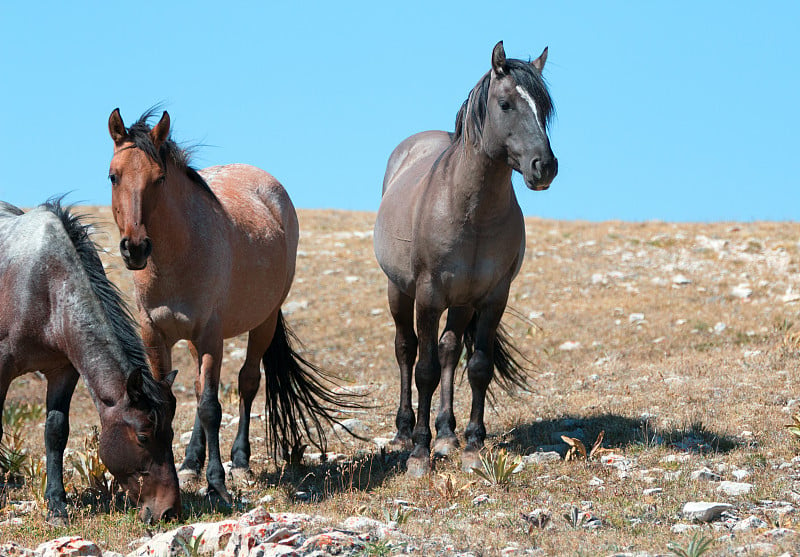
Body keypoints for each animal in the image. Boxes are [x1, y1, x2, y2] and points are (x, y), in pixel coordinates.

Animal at [0, 199, 180, 520]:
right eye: (143, 437)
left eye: (171, 434)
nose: (169, 511)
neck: (47, 286)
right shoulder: (2, 365)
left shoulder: (64, 371)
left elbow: (56, 432)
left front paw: (57, 505)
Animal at [104, 106, 354, 502]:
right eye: (114, 176)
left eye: (159, 179)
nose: (135, 248)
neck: (176, 258)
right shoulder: (155, 336)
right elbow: (169, 402)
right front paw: (182, 471)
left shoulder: (210, 336)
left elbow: (211, 407)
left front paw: (217, 483)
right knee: (196, 388)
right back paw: (191, 462)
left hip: (264, 321)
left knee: (247, 382)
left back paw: (240, 460)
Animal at [374, 41, 556, 476]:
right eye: (506, 103)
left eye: (545, 109)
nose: (545, 166)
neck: (471, 211)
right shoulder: (427, 296)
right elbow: (423, 370)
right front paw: (419, 454)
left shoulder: (492, 298)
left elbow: (477, 367)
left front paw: (471, 446)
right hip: (399, 292)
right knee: (406, 350)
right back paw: (405, 433)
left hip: (460, 303)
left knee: (450, 350)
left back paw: (447, 434)